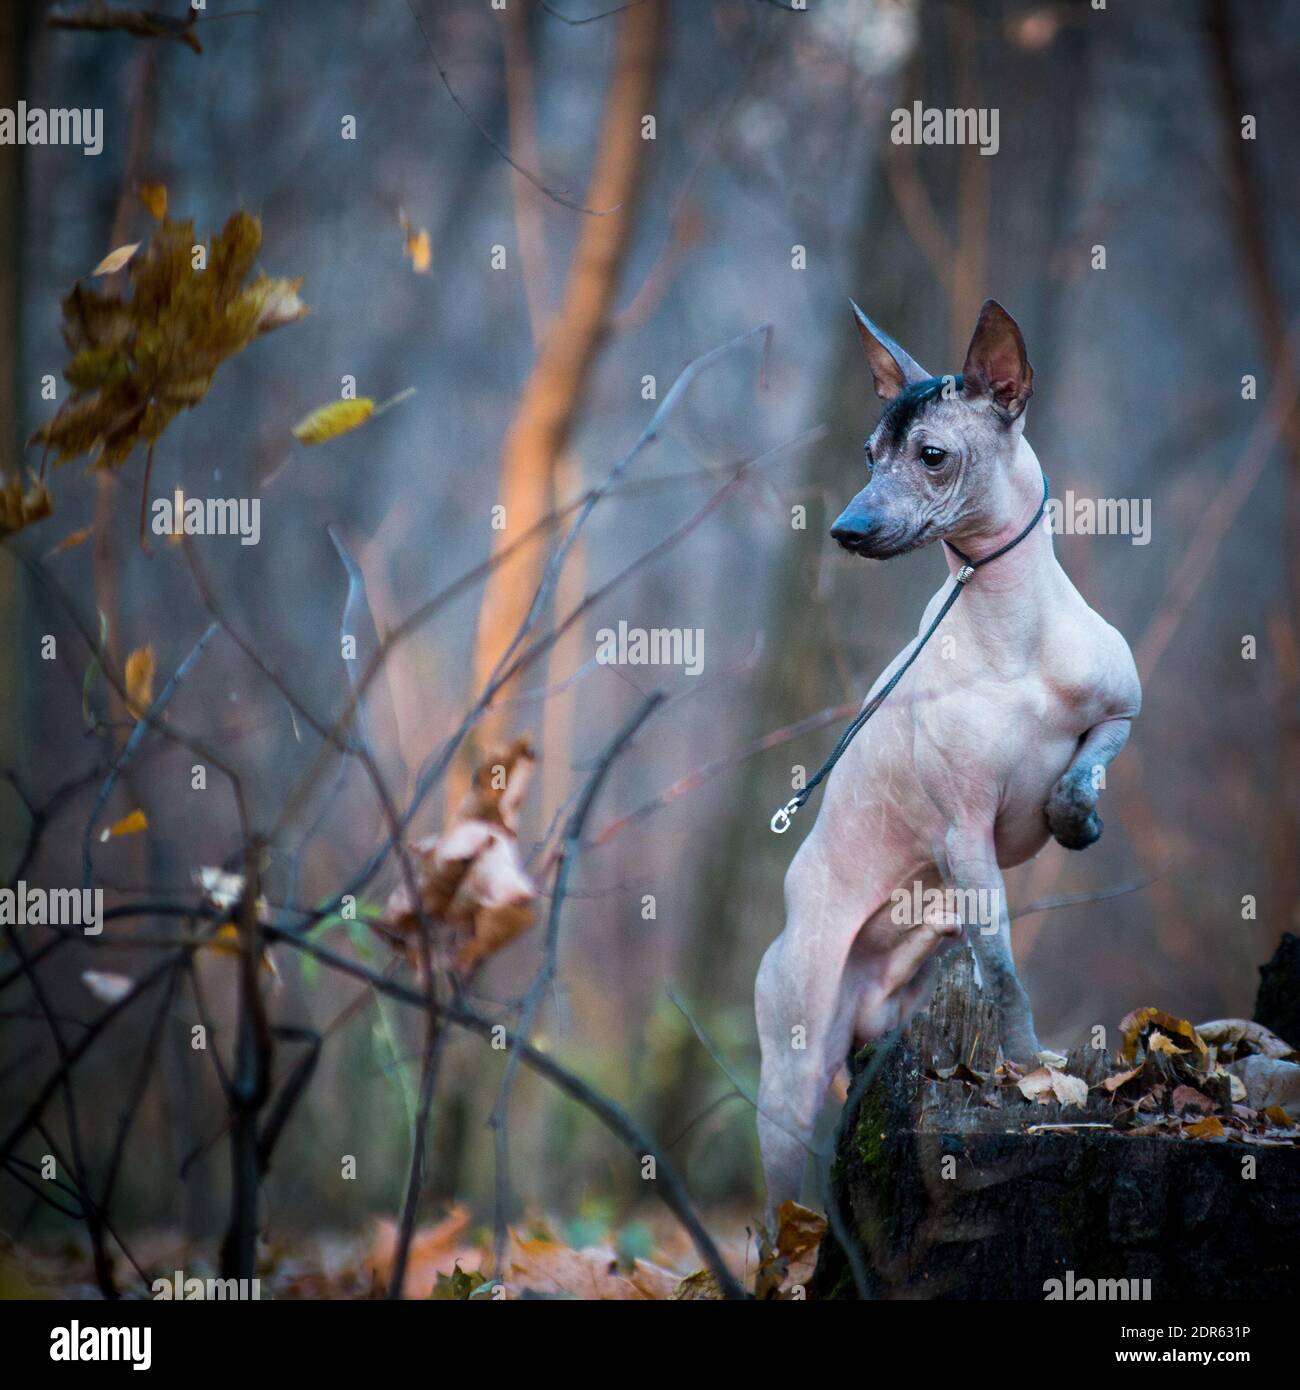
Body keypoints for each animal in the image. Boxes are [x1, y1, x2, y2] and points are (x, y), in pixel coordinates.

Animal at [756, 301, 1145, 1217]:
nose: (847, 529)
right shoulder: (965, 836)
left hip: (882, 1031)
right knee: (776, 1206)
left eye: (931, 455)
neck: (1010, 628)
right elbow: (1002, 968)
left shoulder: (1122, 710)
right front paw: (1032, 1064)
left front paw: (1076, 818)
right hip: (791, 1073)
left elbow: (1082, 768)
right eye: (869, 456)